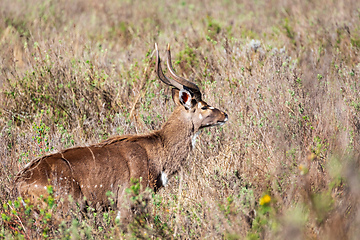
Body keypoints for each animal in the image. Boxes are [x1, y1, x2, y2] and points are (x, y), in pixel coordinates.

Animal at [15, 43, 228, 218]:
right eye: (203, 106)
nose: (225, 115)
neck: (156, 152)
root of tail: (20, 182)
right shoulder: (127, 201)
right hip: (67, 210)